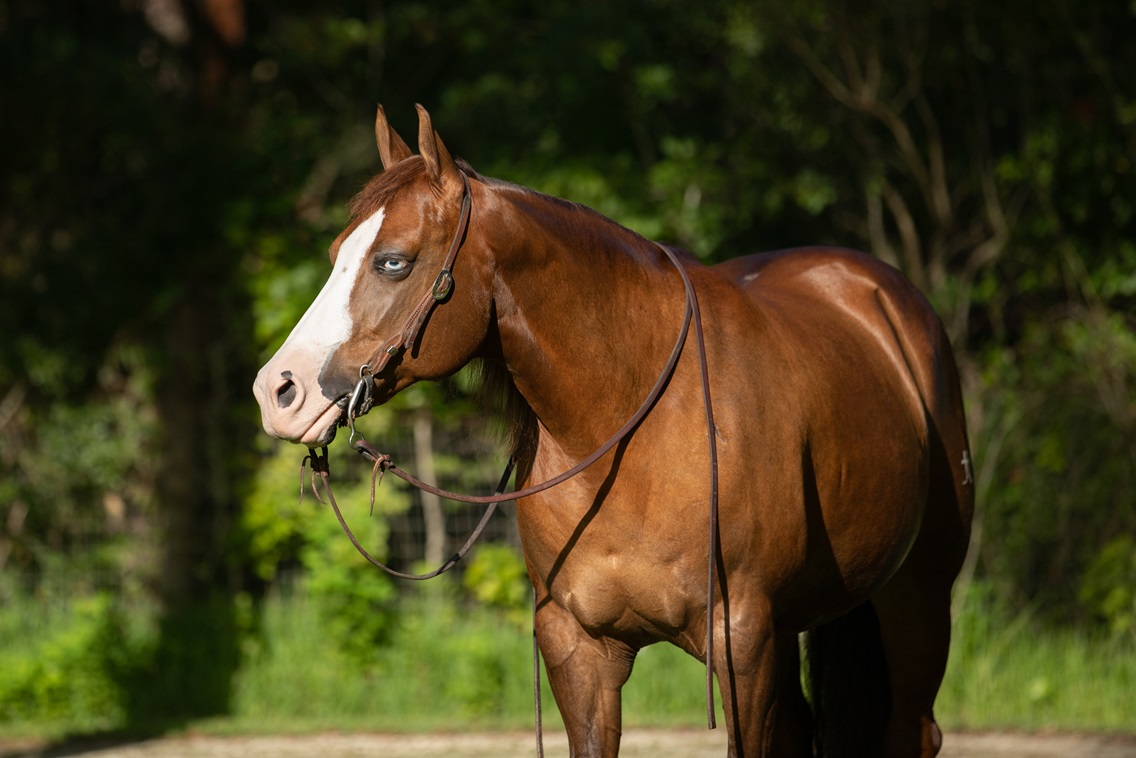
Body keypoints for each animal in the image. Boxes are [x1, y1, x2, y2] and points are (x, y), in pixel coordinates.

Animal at [252, 104, 974, 758]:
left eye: (393, 262)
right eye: (336, 255)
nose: (277, 391)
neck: (636, 432)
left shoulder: (743, 641)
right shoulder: (579, 647)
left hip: (916, 600)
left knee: (914, 730)